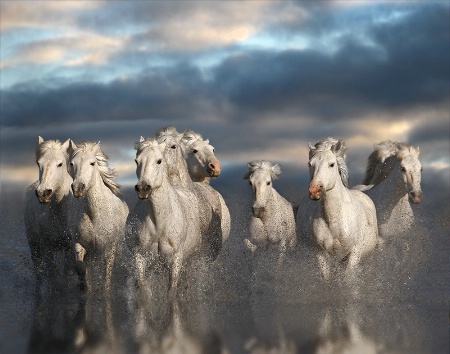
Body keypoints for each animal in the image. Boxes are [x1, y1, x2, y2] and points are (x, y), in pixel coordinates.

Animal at [24, 136, 77, 288]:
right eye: (38, 163)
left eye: (60, 164)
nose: (43, 193)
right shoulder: (47, 247)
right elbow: (52, 276)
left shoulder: (70, 248)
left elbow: (68, 274)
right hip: (34, 244)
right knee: (39, 271)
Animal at [69, 141, 128, 294]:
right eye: (72, 163)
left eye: (92, 163)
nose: (78, 188)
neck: (95, 215)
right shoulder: (80, 244)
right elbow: (80, 267)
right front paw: (84, 288)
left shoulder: (109, 249)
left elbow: (107, 276)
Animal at [129, 138, 201, 296]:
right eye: (136, 161)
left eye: (159, 161)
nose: (143, 188)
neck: (159, 224)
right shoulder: (140, 257)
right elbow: (144, 289)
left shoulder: (175, 260)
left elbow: (171, 291)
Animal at [302, 138, 380, 280]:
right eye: (310, 164)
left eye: (332, 164)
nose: (314, 191)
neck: (334, 220)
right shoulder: (321, 254)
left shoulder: (354, 253)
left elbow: (347, 277)